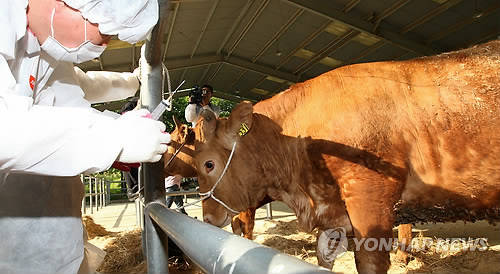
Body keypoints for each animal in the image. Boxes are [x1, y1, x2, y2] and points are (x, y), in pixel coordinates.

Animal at [189, 41, 498, 274]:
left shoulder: (370, 199)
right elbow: (323, 255)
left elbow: (369, 262)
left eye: (209, 164)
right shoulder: (332, 213)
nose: (208, 217)